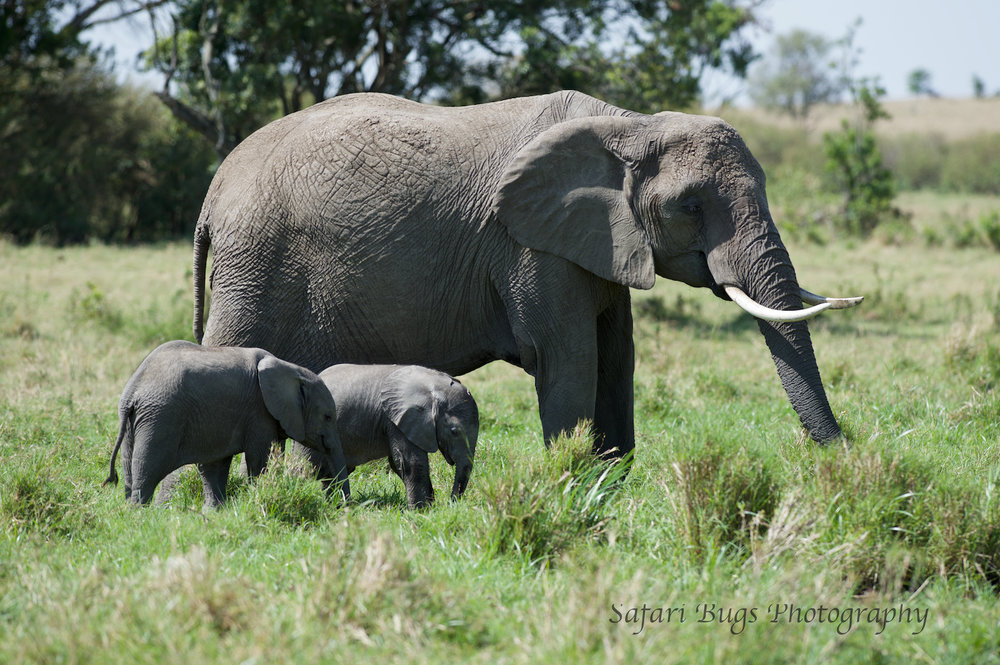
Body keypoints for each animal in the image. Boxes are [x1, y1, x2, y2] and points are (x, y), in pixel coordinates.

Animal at [105, 340, 348, 506]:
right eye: (328, 417)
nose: (342, 506)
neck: (292, 369)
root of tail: (133, 389)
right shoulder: (258, 412)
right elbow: (259, 459)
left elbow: (216, 465)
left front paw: (214, 513)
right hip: (160, 417)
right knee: (147, 470)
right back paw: (139, 512)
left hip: (135, 421)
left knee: (129, 470)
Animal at [193, 91, 860, 460]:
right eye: (691, 206)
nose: (843, 456)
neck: (632, 125)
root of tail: (215, 187)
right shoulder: (531, 249)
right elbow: (571, 360)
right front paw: (577, 487)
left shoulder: (597, 243)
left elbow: (616, 358)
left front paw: (608, 485)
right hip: (255, 262)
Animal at [292, 366, 476, 506]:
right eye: (454, 431)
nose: (451, 504)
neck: (432, 383)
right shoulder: (397, 418)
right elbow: (410, 463)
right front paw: (421, 511)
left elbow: (398, 463)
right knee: (307, 470)